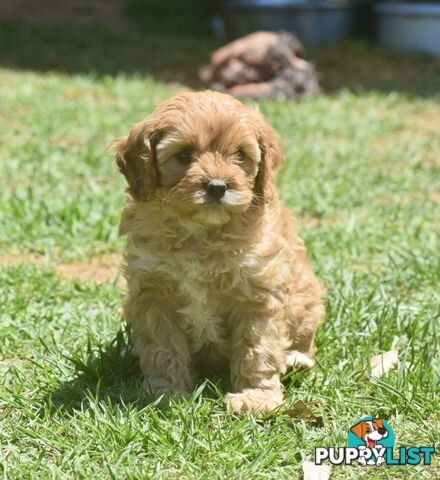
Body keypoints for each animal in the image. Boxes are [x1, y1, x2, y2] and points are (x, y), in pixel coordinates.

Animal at [115, 92, 324, 414]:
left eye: (239, 154)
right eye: (184, 154)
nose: (217, 187)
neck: (202, 233)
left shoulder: (259, 292)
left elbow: (258, 348)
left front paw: (256, 397)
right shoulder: (153, 291)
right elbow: (162, 346)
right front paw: (166, 392)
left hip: (308, 299)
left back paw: (297, 358)